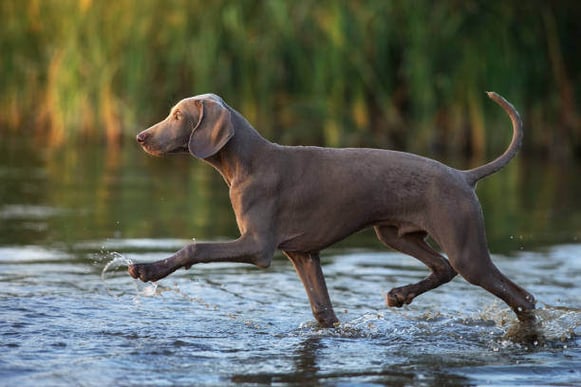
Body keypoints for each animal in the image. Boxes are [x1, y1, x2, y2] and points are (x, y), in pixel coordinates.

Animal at [128, 91, 536, 328]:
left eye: (177, 116)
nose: (140, 137)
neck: (247, 161)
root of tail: (464, 175)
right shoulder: (303, 253)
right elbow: (323, 311)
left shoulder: (258, 246)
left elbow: (195, 247)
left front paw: (147, 269)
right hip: (396, 234)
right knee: (444, 267)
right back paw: (400, 295)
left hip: (465, 243)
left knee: (521, 296)